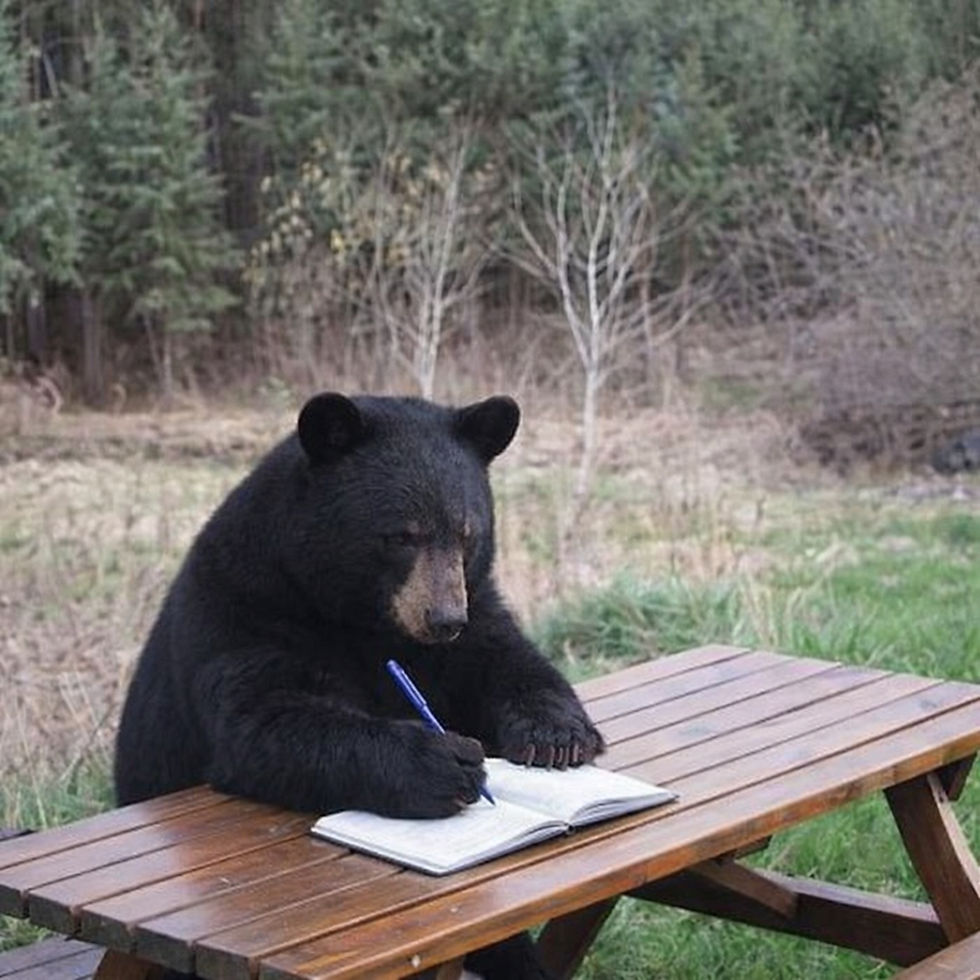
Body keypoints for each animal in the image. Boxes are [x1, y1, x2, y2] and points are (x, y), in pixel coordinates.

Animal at [114, 392, 604, 980]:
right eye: (401, 535)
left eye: (467, 533)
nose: (444, 619)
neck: (362, 619)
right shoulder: (247, 612)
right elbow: (267, 719)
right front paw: (444, 761)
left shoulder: (472, 607)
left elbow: (502, 657)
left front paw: (556, 735)